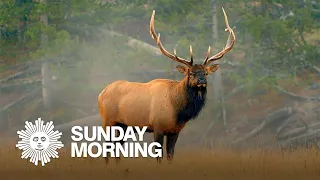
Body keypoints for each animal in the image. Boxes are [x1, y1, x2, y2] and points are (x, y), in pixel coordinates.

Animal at [97, 7, 235, 165]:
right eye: (191, 73)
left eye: (206, 73)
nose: (202, 81)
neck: (178, 110)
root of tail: (101, 94)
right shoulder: (157, 126)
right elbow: (158, 156)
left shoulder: (175, 131)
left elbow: (170, 155)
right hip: (108, 121)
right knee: (106, 147)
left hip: (123, 126)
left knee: (116, 147)